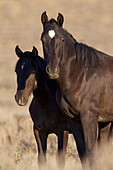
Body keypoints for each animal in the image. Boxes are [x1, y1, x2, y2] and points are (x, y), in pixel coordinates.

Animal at [41, 11, 113, 169]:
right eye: (43, 39)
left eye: (62, 39)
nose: (52, 70)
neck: (79, 74)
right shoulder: (73, 120)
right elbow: (82, 152)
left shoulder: (88, 118)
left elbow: (91, 151)